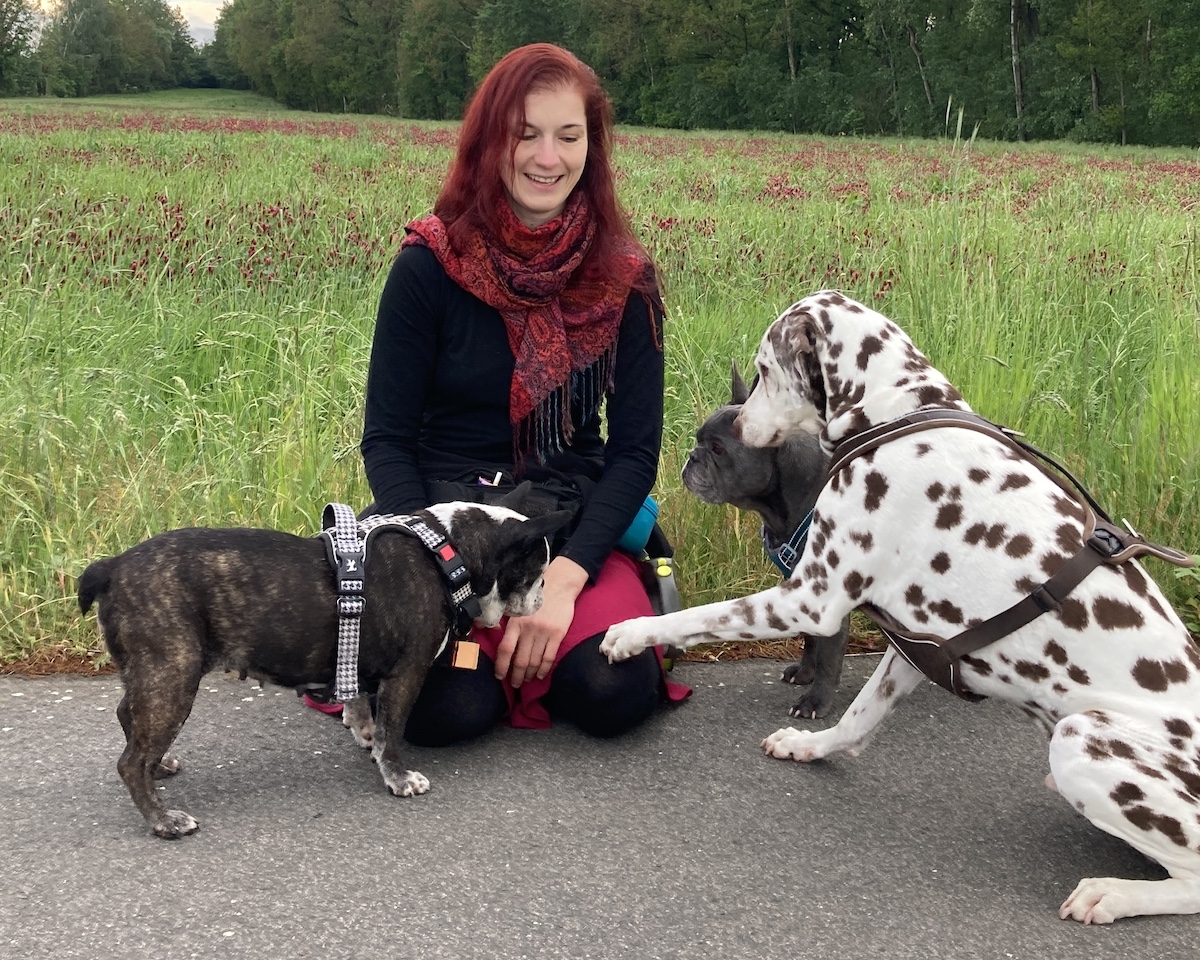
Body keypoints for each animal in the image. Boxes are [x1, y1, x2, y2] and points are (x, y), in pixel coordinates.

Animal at [681, 364, 849, 715]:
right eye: (698, 439)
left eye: (718, 449)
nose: (692, 457)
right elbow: (810, 637)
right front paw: (805, 672)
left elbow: (829, 653)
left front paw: (817, 700)